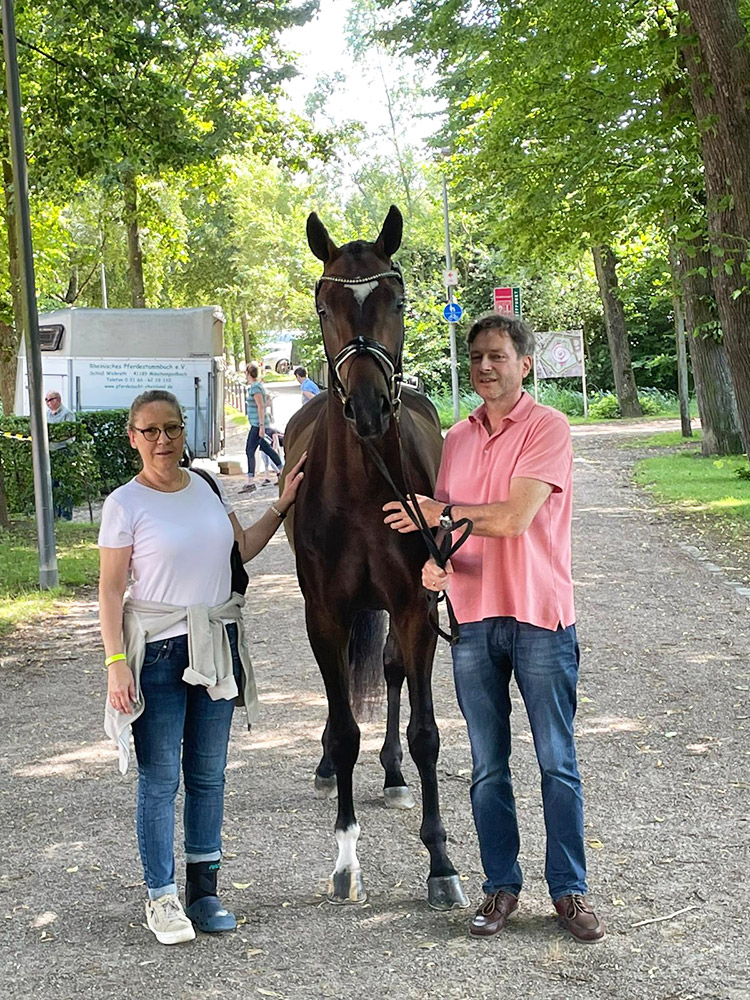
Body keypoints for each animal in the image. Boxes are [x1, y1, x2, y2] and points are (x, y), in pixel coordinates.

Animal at [284, 207, 470, 912]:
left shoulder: (417, 605)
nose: (367, 407)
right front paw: (344, 859)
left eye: (398, 301)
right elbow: (343, 728)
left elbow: (425, 732)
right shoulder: (325, 613)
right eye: (324, 303)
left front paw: (441, 861)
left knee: (390, 674)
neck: (364, 487)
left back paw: (390, 775)